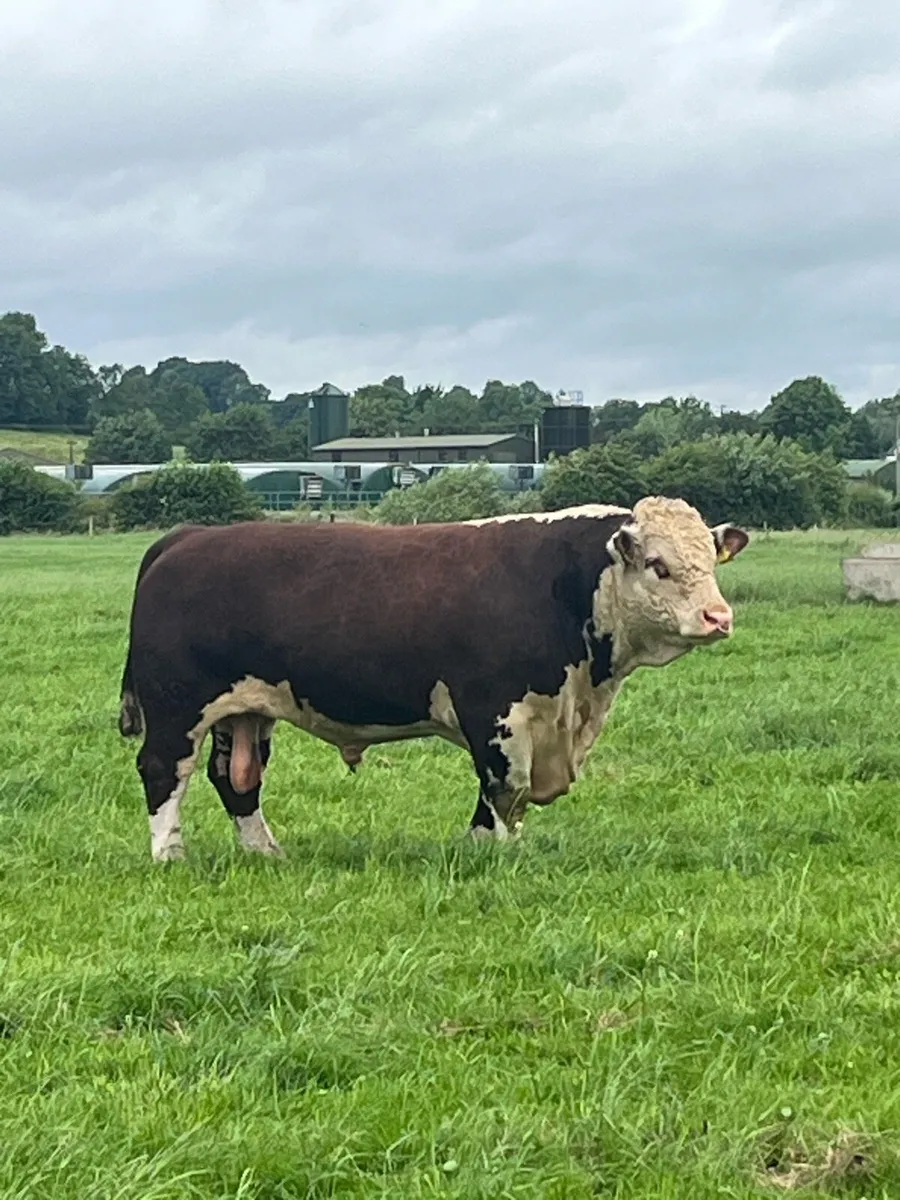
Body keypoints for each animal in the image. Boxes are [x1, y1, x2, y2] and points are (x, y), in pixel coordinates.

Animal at [118, 497, 748, 862]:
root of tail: (190, 536)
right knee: (164, 771)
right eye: (659, 565)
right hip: (177, 706)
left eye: (710, 560)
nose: (718, 617)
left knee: (237, 780)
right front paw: (485, 850)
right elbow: (504, 784)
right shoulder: (495, 710)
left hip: (245, 709)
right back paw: (170, 856)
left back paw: (266, 852)